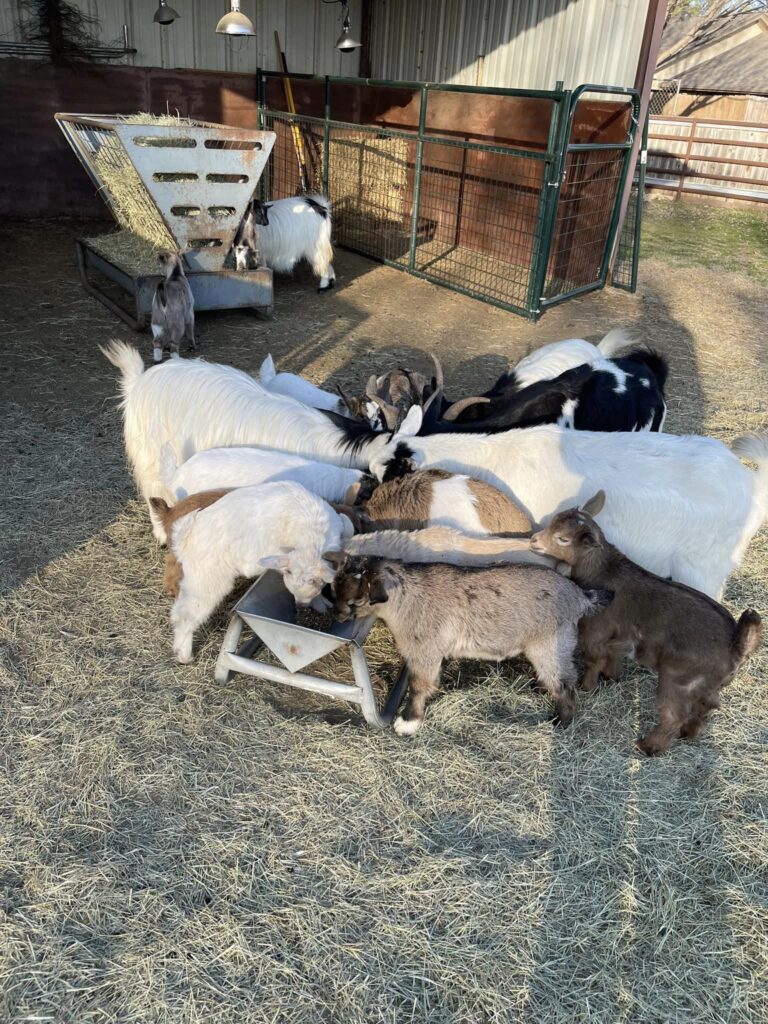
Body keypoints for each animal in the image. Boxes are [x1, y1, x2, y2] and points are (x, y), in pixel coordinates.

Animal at [169, 481, 354, 663]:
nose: (301, 606)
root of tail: (184, 537)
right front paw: (320, 604)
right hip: (207, 579)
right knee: (186, 614)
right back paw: (184, 654)